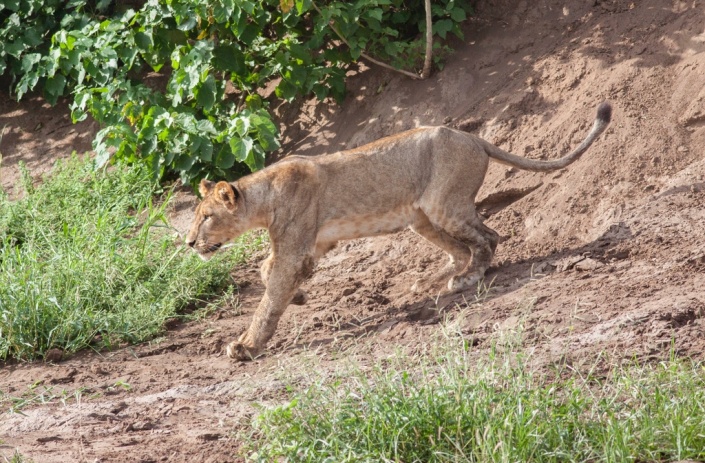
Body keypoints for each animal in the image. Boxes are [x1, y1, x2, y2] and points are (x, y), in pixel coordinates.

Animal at [186, 101, 612, 360]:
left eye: (205, 216)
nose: (189, 242)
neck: (263, 197)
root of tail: (473, 137)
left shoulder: (295, 246)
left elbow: (270, 296)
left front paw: (246, 346)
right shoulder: (317, 241)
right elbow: (268, 270)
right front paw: (302, 294)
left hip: (444, 204)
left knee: (488, 238)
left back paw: (466, 279)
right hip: (421, 218)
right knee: (463, 247)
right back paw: (437, 280)